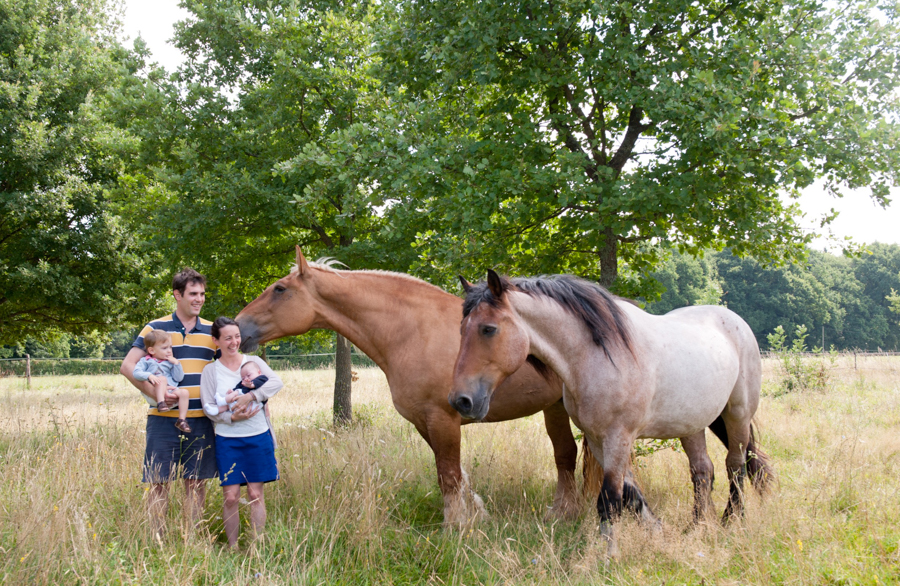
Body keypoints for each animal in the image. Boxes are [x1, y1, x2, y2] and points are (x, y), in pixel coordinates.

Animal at [239, 244, 588, 524]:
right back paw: (562, 513)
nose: (236, 325)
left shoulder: (443, 419)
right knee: (565, 456)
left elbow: (449, 475)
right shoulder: (424, 422)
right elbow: (454, 475)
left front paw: (455, 527)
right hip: (555, 407)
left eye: (279, 289)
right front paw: (474, 514)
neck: (412, 331)